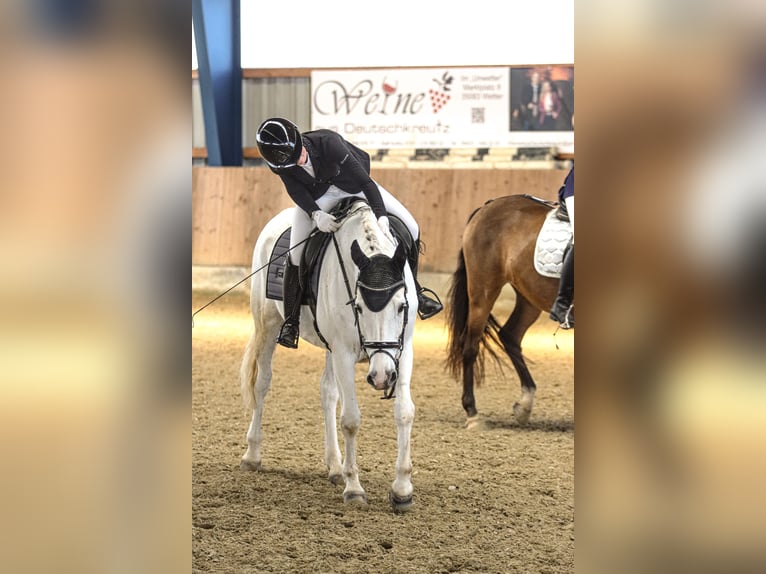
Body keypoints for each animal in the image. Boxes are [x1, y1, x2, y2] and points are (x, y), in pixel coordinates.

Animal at [239, 200, 419, 512]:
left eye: (401, 306)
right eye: (358, 307)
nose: (382, 377)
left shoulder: (402, 349)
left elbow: (404, 412)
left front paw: (402, 490)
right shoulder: (344, 352)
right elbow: (351, 420)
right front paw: (354, 489)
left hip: (330, 347)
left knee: (328, 393)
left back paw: (335, 466)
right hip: (268, 324)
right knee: (262, 384)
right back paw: (252, 454)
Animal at [445, 194, 571, 425]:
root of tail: (488, 206)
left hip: (528, 297)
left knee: (510, 335)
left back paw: (524, 405)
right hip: (483, 291)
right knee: (471, 345)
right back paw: (472, 412)